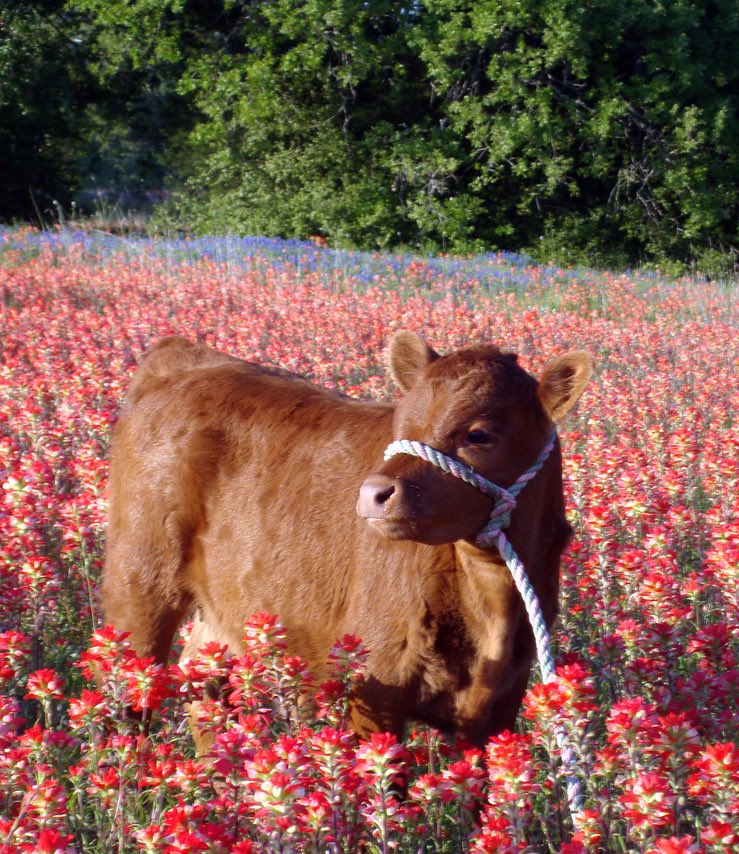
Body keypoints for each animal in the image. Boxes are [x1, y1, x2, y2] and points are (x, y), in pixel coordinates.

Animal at [103, 332, 593, 745]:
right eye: (402, 425)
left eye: (480, 434)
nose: (372, 492)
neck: (489, 601)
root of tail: (185, 357)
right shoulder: (375, 681)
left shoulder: (500, 704)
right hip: (139, 583)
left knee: (204, 682)